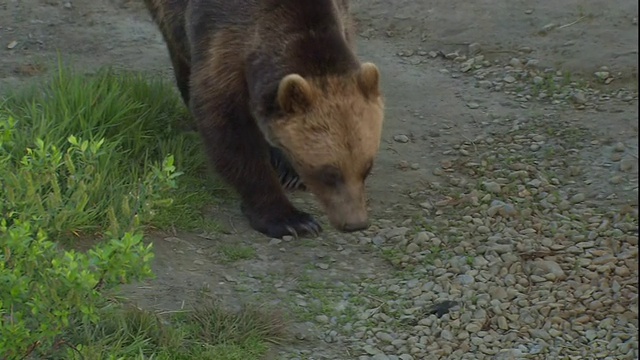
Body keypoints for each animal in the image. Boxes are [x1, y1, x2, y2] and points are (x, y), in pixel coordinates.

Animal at [144, 0, 384, 239]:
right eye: (329, 173)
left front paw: (290, 171)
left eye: (366, 168)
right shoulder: (222, 40)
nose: (355, 223)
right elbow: (230, 129)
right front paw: (292, 220)